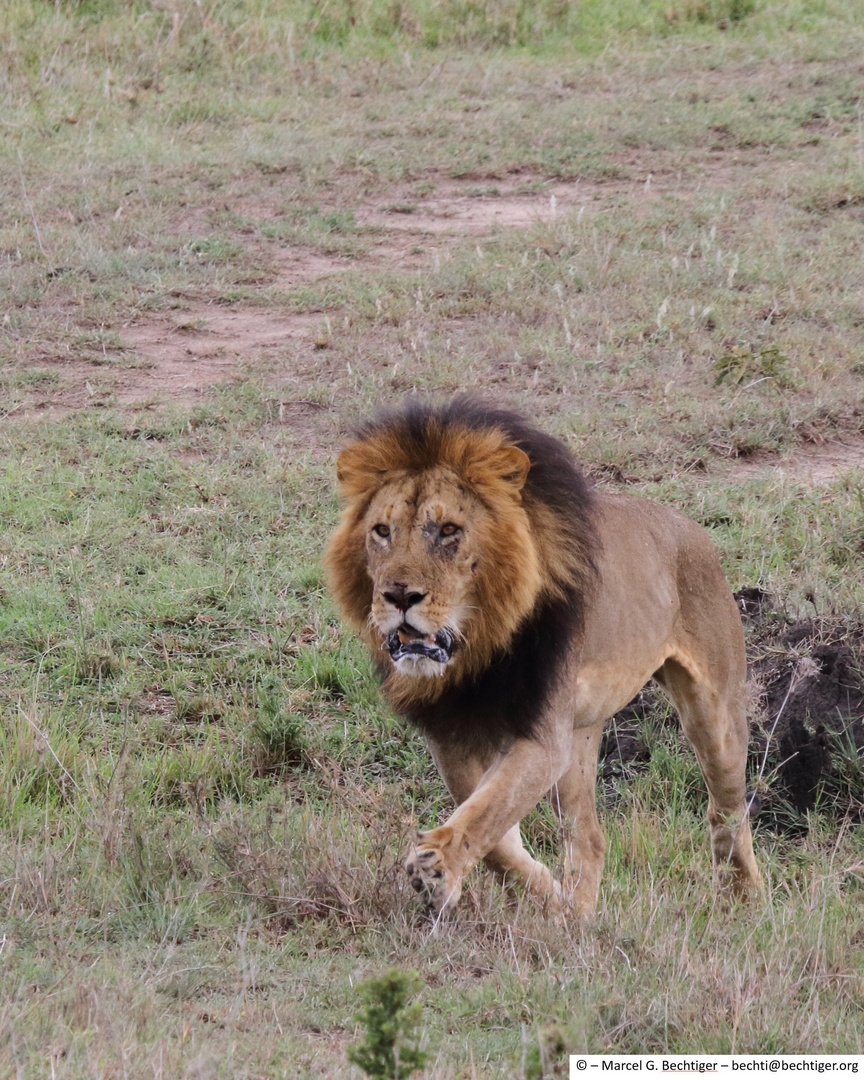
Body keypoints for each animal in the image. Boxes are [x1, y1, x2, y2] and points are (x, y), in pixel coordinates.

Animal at [326, 401, 764, 915]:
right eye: (382, 531)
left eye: (450, 531)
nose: (398, 596)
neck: (478, 650)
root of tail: (688, 527)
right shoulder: (451, 735)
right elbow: (493, 831)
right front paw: (546, 899)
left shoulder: (541, 737)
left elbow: (487, 810)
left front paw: (438, 868)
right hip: (580, 737)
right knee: (590, 838)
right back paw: (579, 917)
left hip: (714, 715)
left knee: (727, 810)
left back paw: (746, 899)